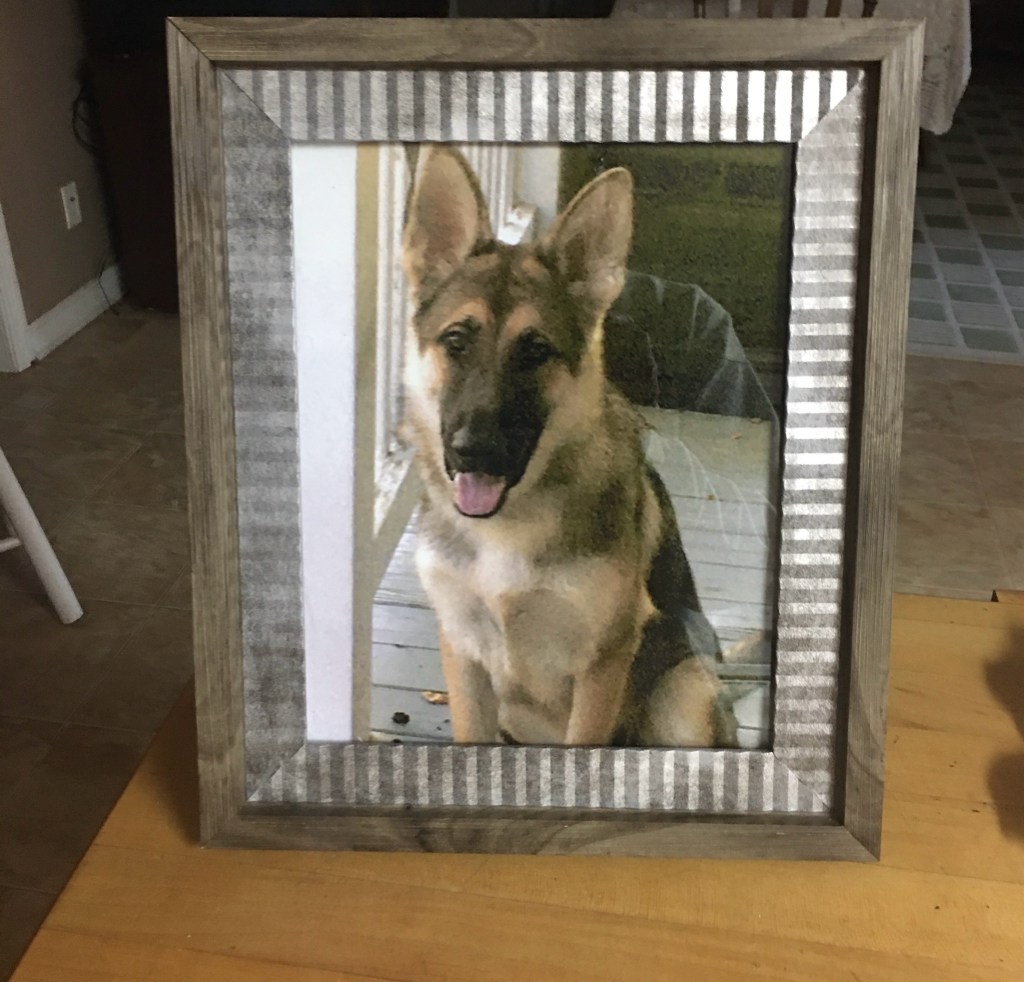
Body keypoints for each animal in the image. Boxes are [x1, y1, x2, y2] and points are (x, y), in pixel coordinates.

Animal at [400, 145, 736, 748]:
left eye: (536, 351)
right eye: (456, 341)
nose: (472, 452)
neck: (509, 525)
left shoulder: (602, 665)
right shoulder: (463, 654)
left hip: (684, 697)